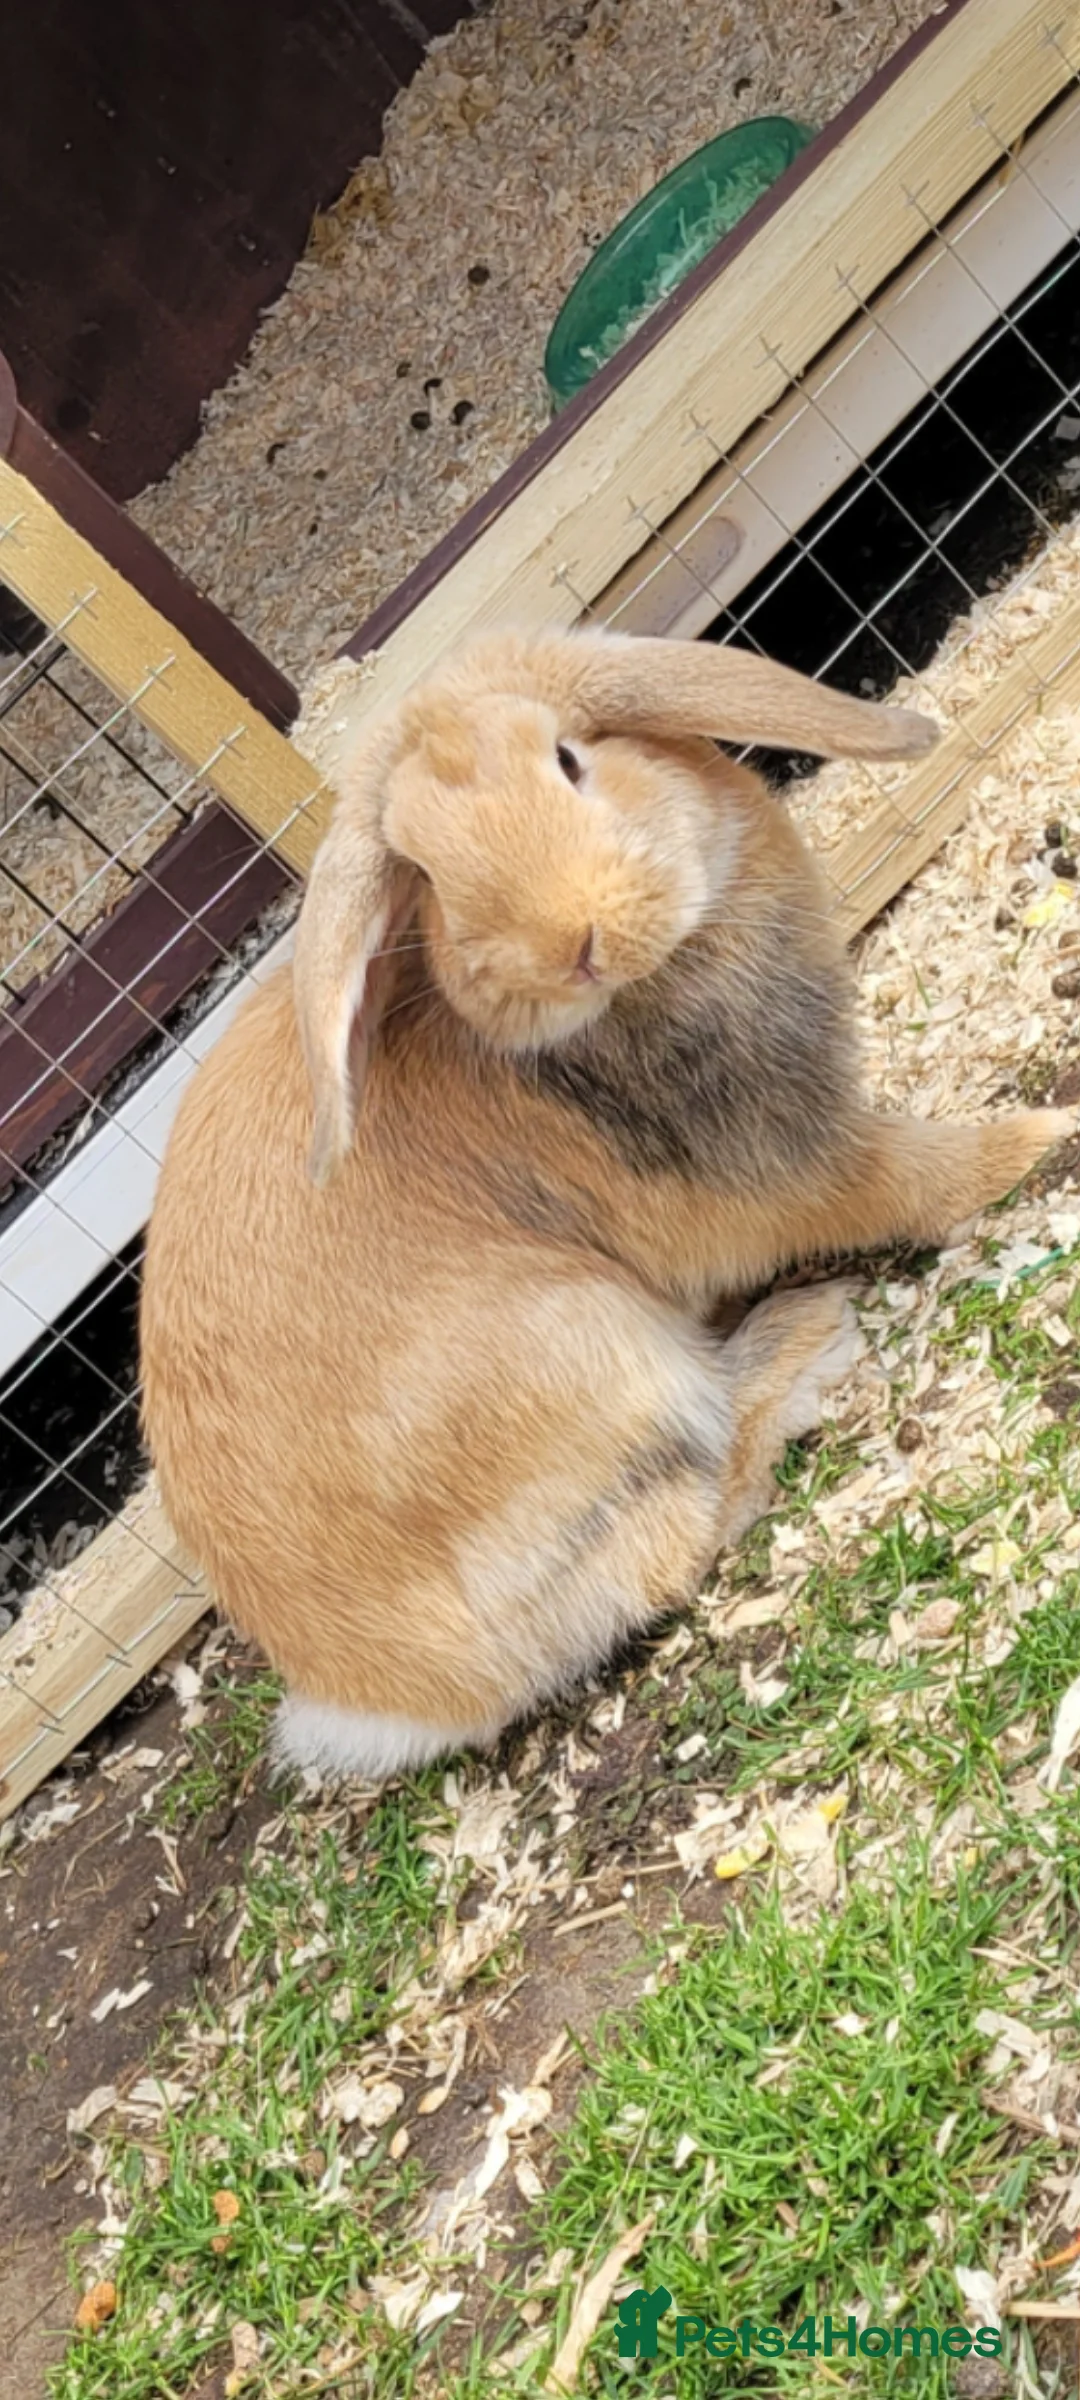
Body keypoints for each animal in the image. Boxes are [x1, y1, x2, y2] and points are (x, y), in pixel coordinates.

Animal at [139, 628, 1073, 1784]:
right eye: (430, 873)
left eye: (569, 759)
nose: (565, 943)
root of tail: (378, 1694)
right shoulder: (795, 1171)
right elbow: (910, 1174)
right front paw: (1044, 1135)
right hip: (596, 1348)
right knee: (682, 1532)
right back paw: (802, 1341)